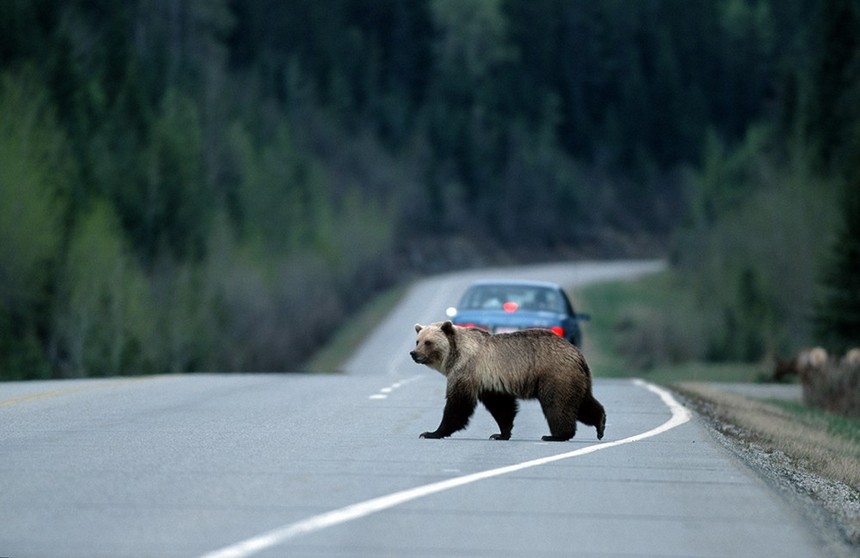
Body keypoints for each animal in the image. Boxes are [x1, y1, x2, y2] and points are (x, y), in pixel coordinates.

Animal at [410, 320, 606, 441]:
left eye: (428, 342)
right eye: (417, 341)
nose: (414, 354)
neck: (455, 355)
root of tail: (577, 354)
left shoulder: (467, 370)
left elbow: (458, 405)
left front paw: (431, 432)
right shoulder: (489, 381)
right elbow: (501, 407)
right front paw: (500, 434)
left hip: (555, 375)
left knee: (557, 404)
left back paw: (556, 435)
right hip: (575, 378)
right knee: (583, 403)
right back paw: (600, 424)